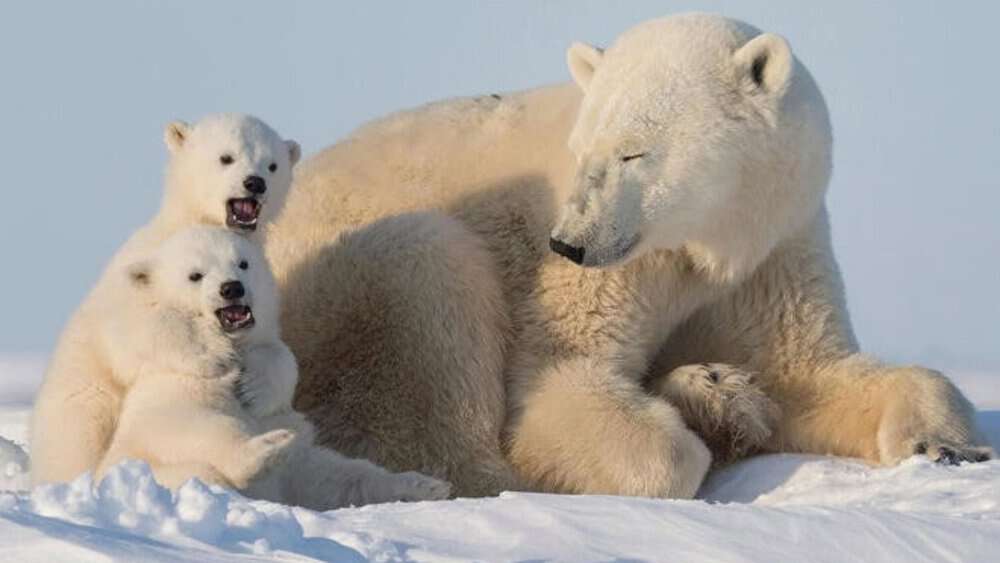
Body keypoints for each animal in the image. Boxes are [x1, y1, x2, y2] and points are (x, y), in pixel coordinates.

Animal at [31, 113, 301, 485]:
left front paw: (255, 386)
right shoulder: (140, 274)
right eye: (226, 157)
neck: (188, 223)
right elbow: (136, 330)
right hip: (82, 411)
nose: (255, 183)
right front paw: (213, 356)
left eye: (272, 164)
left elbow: (277, 348)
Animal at [95, 227, 452, 508]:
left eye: (242, 263)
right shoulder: (171, 400)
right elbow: (197, 423)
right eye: (195, 275)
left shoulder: (284, 433)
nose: (232, 288)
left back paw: (427, 485)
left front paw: (254, 387)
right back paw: (269, 448)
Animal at [264, 13, 992, 499]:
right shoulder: (608, 273)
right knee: (428, 284)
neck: (705, 240)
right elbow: (560, 388)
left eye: (633, 152)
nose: (568, 241)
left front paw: (943, 443)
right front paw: (698, 427)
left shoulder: (774, 246)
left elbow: (809, 371)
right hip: (329, 297)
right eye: (582, 148)